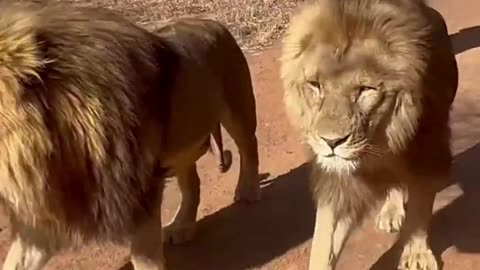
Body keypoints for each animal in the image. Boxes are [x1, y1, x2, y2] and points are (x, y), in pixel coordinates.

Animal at [0, 1, 258, 268]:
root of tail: (211, 22)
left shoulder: (137, 192)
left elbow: (144, 257)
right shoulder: (43, 213)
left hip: (237, 107)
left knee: (249, 145)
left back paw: (247, 189)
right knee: (192, 182)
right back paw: (181, 225)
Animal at [282, 0, 458, 270]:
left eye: (365, 89)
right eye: (315, 85)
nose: (331, 142)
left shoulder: (430, 149)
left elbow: (421, 204)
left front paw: (416, 254)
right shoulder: (335, 178)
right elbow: (324, 237)